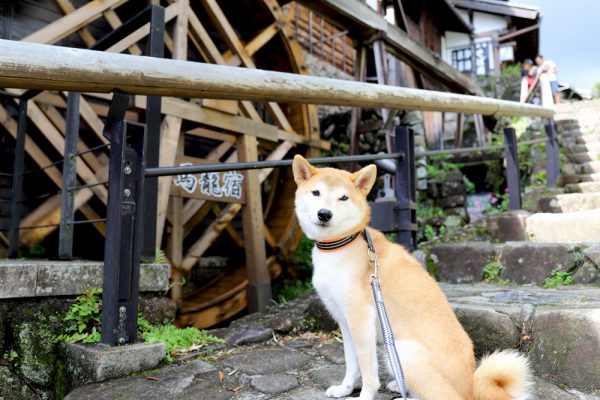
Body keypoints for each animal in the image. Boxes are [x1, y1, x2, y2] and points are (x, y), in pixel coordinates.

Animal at [292, 154, 532, 400]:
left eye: (343, 197)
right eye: (316, 193)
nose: (324, 214)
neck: (340, 244)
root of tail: (470, 386)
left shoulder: (361, 318)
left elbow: (368, 372)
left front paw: (365, 395)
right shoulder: (345, 320)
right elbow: (352, 363)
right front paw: (345, 389)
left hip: (402, 351)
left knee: (441, 395)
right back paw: (399, 386)